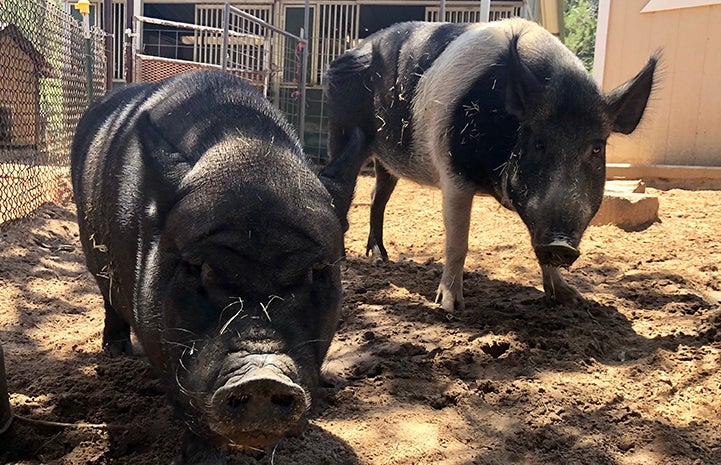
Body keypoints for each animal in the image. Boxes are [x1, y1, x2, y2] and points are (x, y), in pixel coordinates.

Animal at [326, 17, 660, 312]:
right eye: (538, 143)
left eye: (596, 148)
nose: (561, 244)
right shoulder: (454, 175)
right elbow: (457, 242)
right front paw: (449, 307)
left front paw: (572, 298)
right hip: (341, 134)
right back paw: (345, 259)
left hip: (386, 160)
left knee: (376, 197)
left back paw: (380, 257)